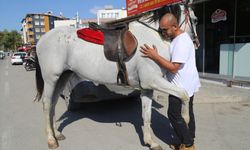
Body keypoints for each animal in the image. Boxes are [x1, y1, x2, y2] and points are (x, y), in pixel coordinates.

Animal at [34, 0, 199, 149]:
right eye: (196, 20)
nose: (196, 44)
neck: (151, 38)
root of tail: (41, 40)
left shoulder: (147, 87)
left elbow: (146, 115)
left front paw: (150, 142)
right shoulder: (153, 80)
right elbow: (184, 94)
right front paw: (185, 120)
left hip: (62, 77)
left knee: (53, 102)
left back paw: (57, 133)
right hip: (51, 79)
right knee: (47, 103)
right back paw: (51, 140)